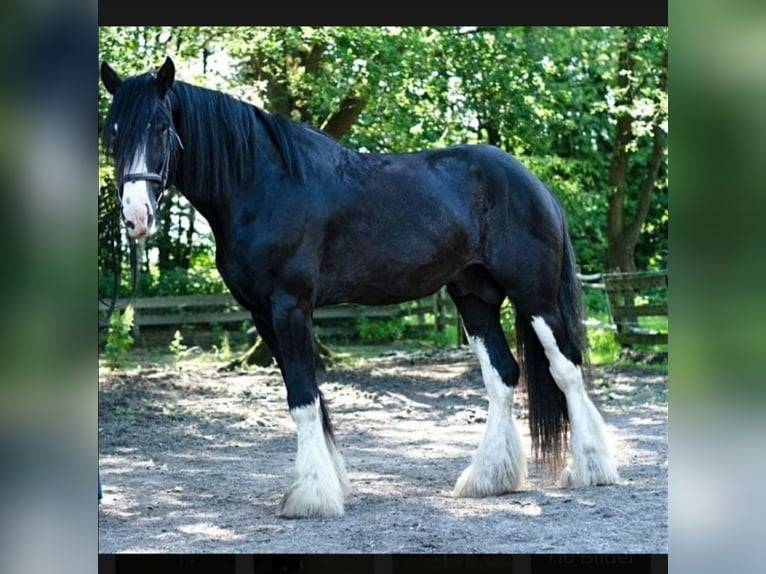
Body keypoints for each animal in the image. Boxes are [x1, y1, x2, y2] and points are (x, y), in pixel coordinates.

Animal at [102, 57, 620, 516]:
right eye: (113, 131)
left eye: (161, 128)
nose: (137, 217)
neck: (262, 185)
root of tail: (532, 181)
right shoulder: (262, 313)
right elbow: (310, 398)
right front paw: (331, 483)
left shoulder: (290, 306)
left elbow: (303, 399)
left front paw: (311, 497)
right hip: (474, 298)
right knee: (504, 376)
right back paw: (489, 478)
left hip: (535, 298)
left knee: (566, 370)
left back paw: (592, 470)